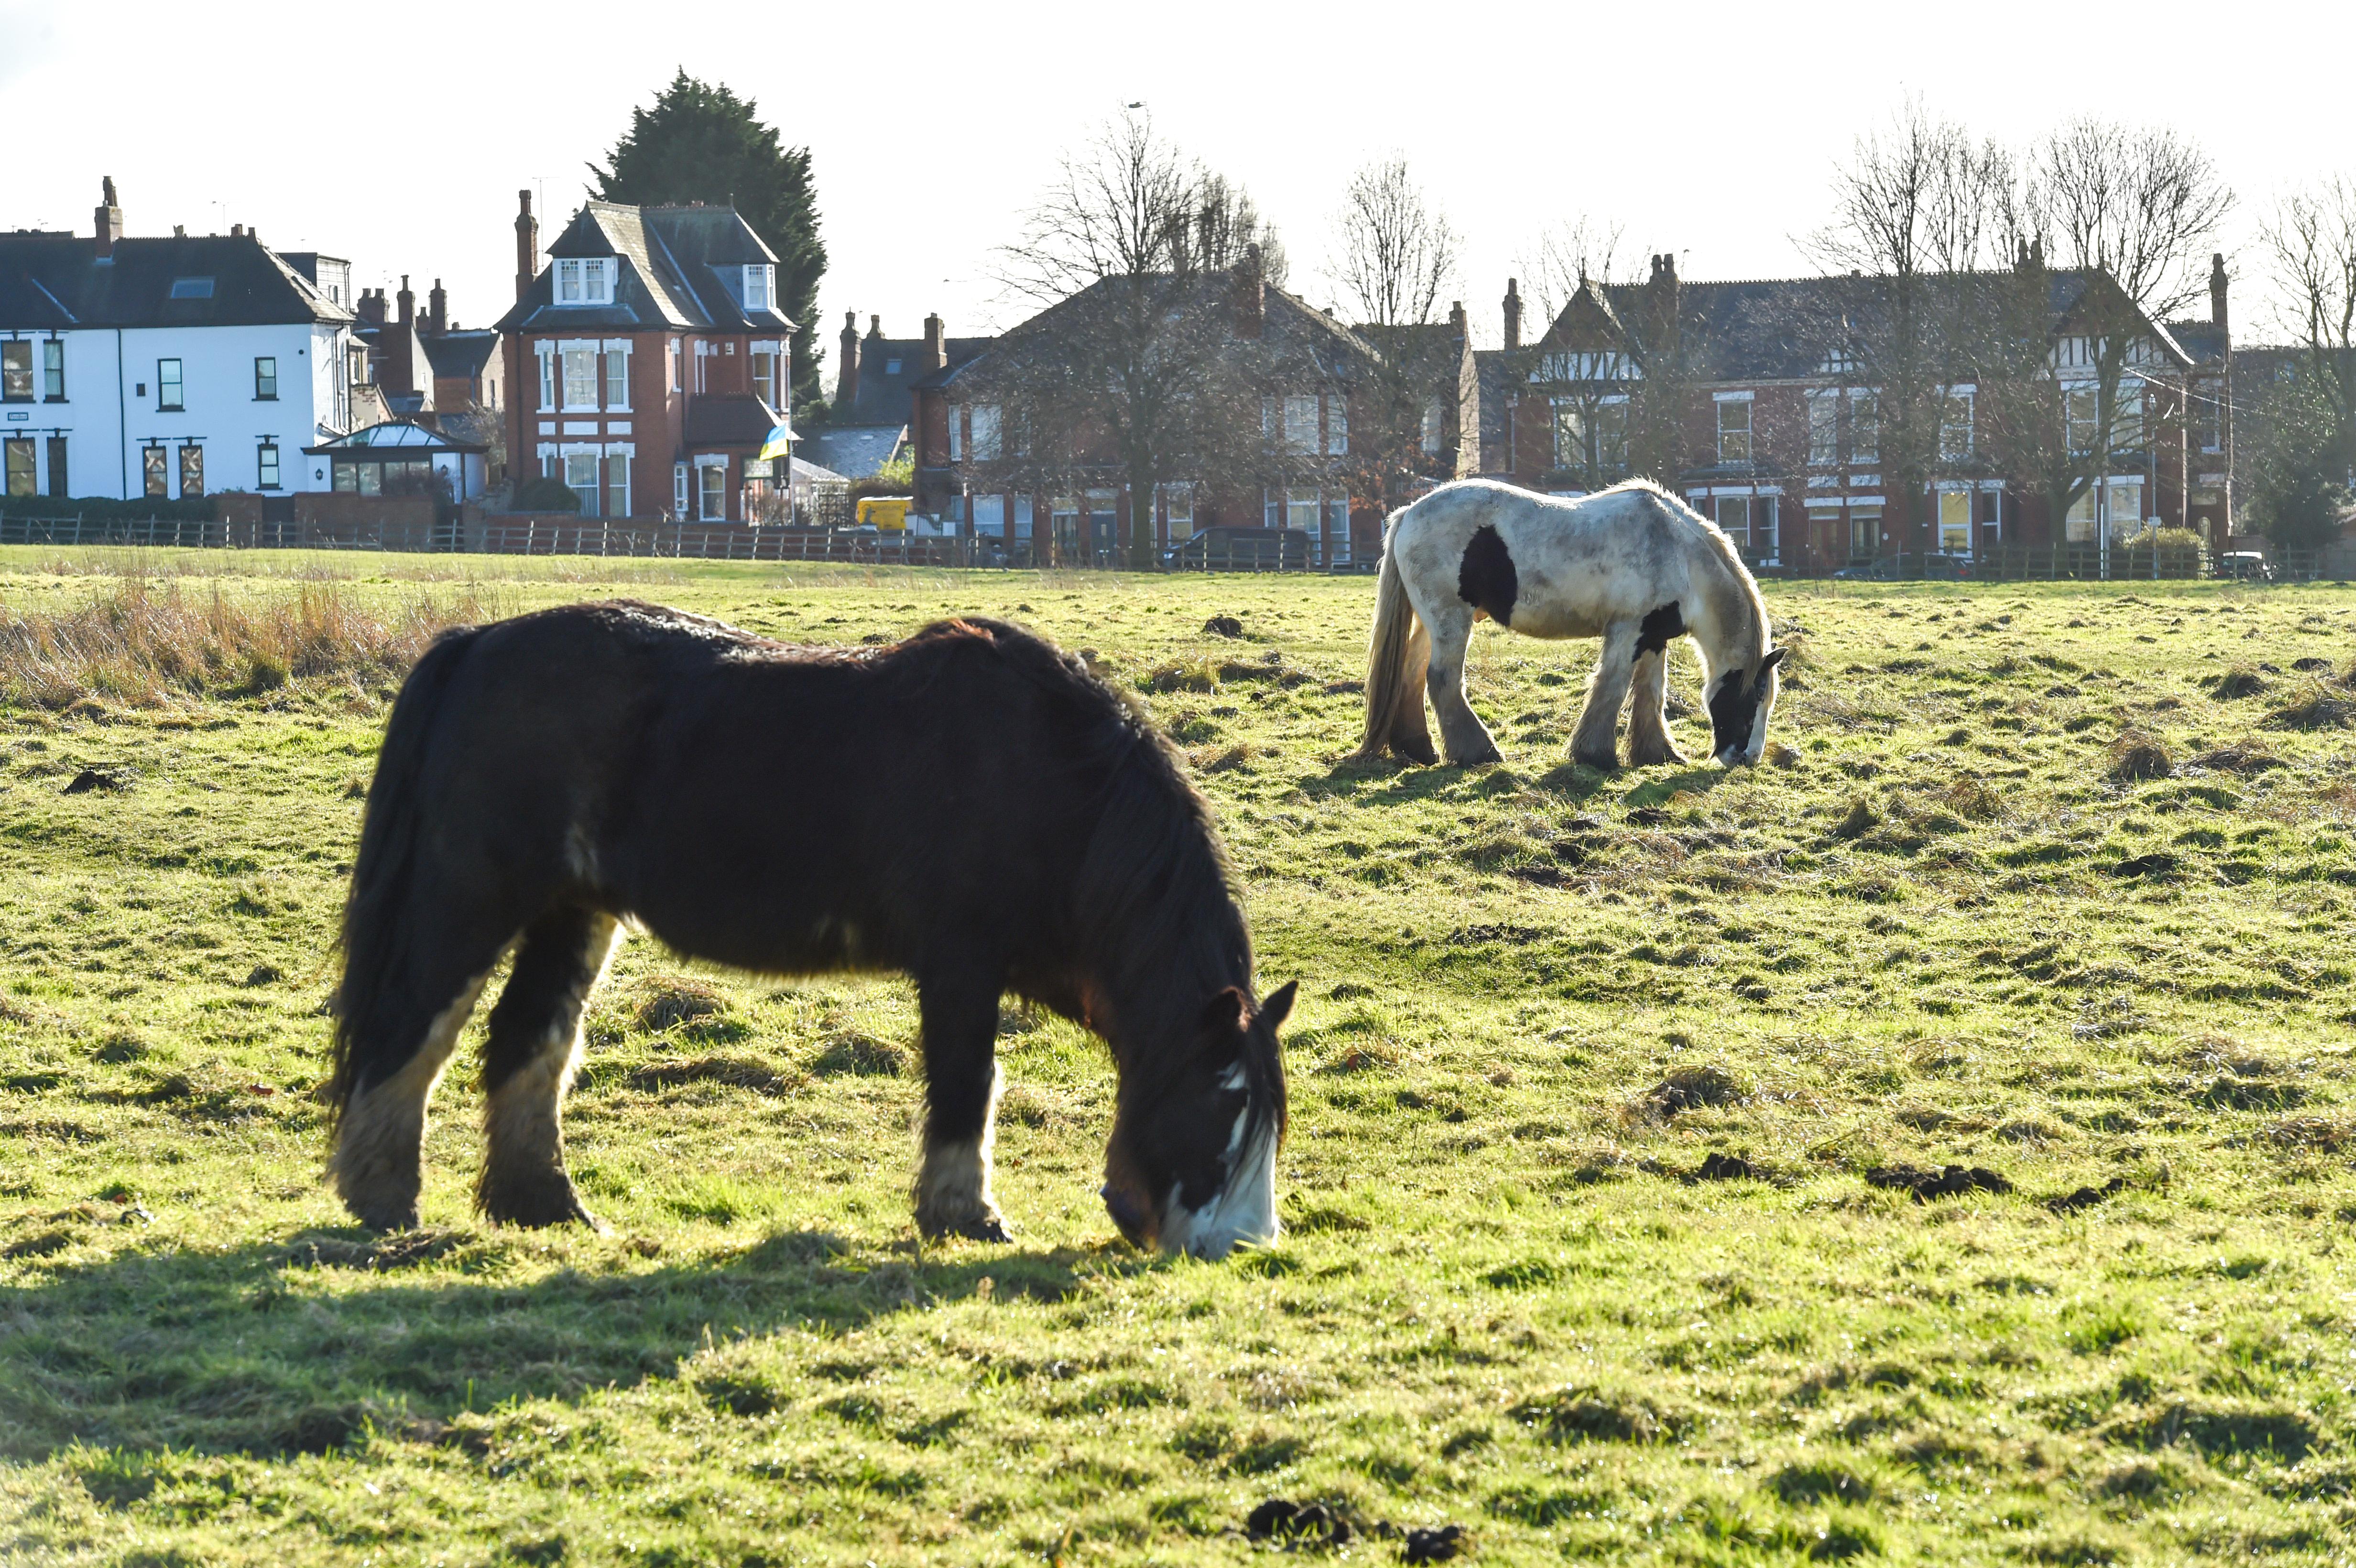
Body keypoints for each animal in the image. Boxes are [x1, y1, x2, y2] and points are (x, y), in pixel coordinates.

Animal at [326, 601, 1296, 1261]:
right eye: (1222, 1101)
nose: (1245, 1246)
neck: (1051, 782)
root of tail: (475, 644)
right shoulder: (959, 966)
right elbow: (967, 1083)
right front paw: (966, 1218)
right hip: (472, 901)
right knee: (414, 1028)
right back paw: (384, 1204)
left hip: (574, 914)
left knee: (531, 1042)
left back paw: (545, 1208)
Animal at [1356, 478, 1788, 770]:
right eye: (1754, 698)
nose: (1747, 758)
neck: (1680, 555)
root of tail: (1407, 514)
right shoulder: (1627, 631)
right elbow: (1612, 687)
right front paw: (1595, 754)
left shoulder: (1653, 638)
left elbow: (1650, 693)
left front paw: (1658, 754)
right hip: (1450, 620)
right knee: (1443, 679)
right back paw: (1478, 752)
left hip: (1432, 622)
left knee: (1412, 674)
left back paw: (1419, 749)